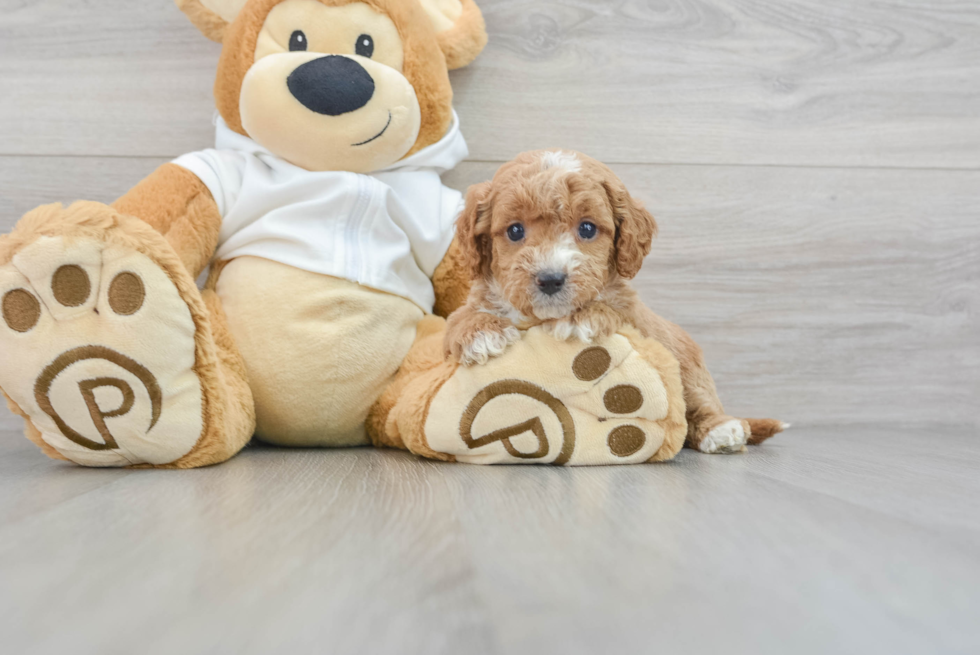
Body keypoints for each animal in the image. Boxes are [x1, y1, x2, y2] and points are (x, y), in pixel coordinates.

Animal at [448, 151, 784, 454]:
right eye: (515, 230)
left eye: (587, 228)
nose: (551, 279)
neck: (542, 316)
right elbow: (459, 317)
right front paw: (481, 333)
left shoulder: (631, 313)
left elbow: (611, 309)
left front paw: (579, 319)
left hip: (687, 363)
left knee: (699, 404)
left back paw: (720, 431)